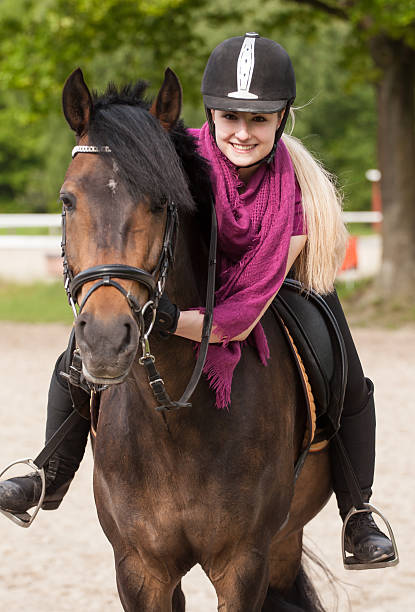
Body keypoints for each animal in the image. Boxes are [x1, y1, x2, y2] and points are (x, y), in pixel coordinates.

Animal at [60, 68, 334, 612]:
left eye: (161, 202)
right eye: (67, 200)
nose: (104, 340)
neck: (173, 423)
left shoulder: (244, 565)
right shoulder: (141, 570)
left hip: (284, 543)